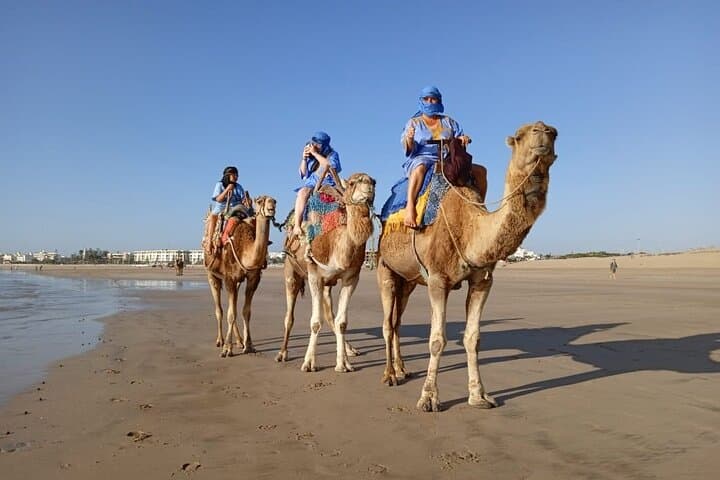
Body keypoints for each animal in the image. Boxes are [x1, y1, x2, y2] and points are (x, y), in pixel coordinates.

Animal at [204, 195, 277, 357]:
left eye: (275, 201)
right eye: (260, 201)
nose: (271, 208)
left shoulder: (253, 278)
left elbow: (245, 311)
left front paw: (248, 345)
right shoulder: (229, 278)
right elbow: (231, 314)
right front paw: (226, 349)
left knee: (234, 307)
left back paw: (238, 341)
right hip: (211, 274)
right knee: (219, 309)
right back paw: (220, 341)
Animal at [277, 173, 376, 372]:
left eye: (373, 180)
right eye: (352, 183)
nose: (370, 186)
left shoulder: (351, 277)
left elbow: (342, 322)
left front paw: (343, 364)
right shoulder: (314, 275)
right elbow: (315, 322)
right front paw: (308, 363)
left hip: (327, 285)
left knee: (331, 316)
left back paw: (350, 352)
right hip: (291, 271)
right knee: (289, 315)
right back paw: (282, 353)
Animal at [377, 121, 557, 412]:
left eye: (555, 133)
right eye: (520, 136)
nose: (545, 132)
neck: (469, 228)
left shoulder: (482, 280)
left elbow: (473, 338)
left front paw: (479, 396)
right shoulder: (438, 280)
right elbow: (437, 340)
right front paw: (429, 398)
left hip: (409, 280)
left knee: (396, 322)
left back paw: (402, 369)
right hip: (385, 267)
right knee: (386, 322)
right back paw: (390, 375)